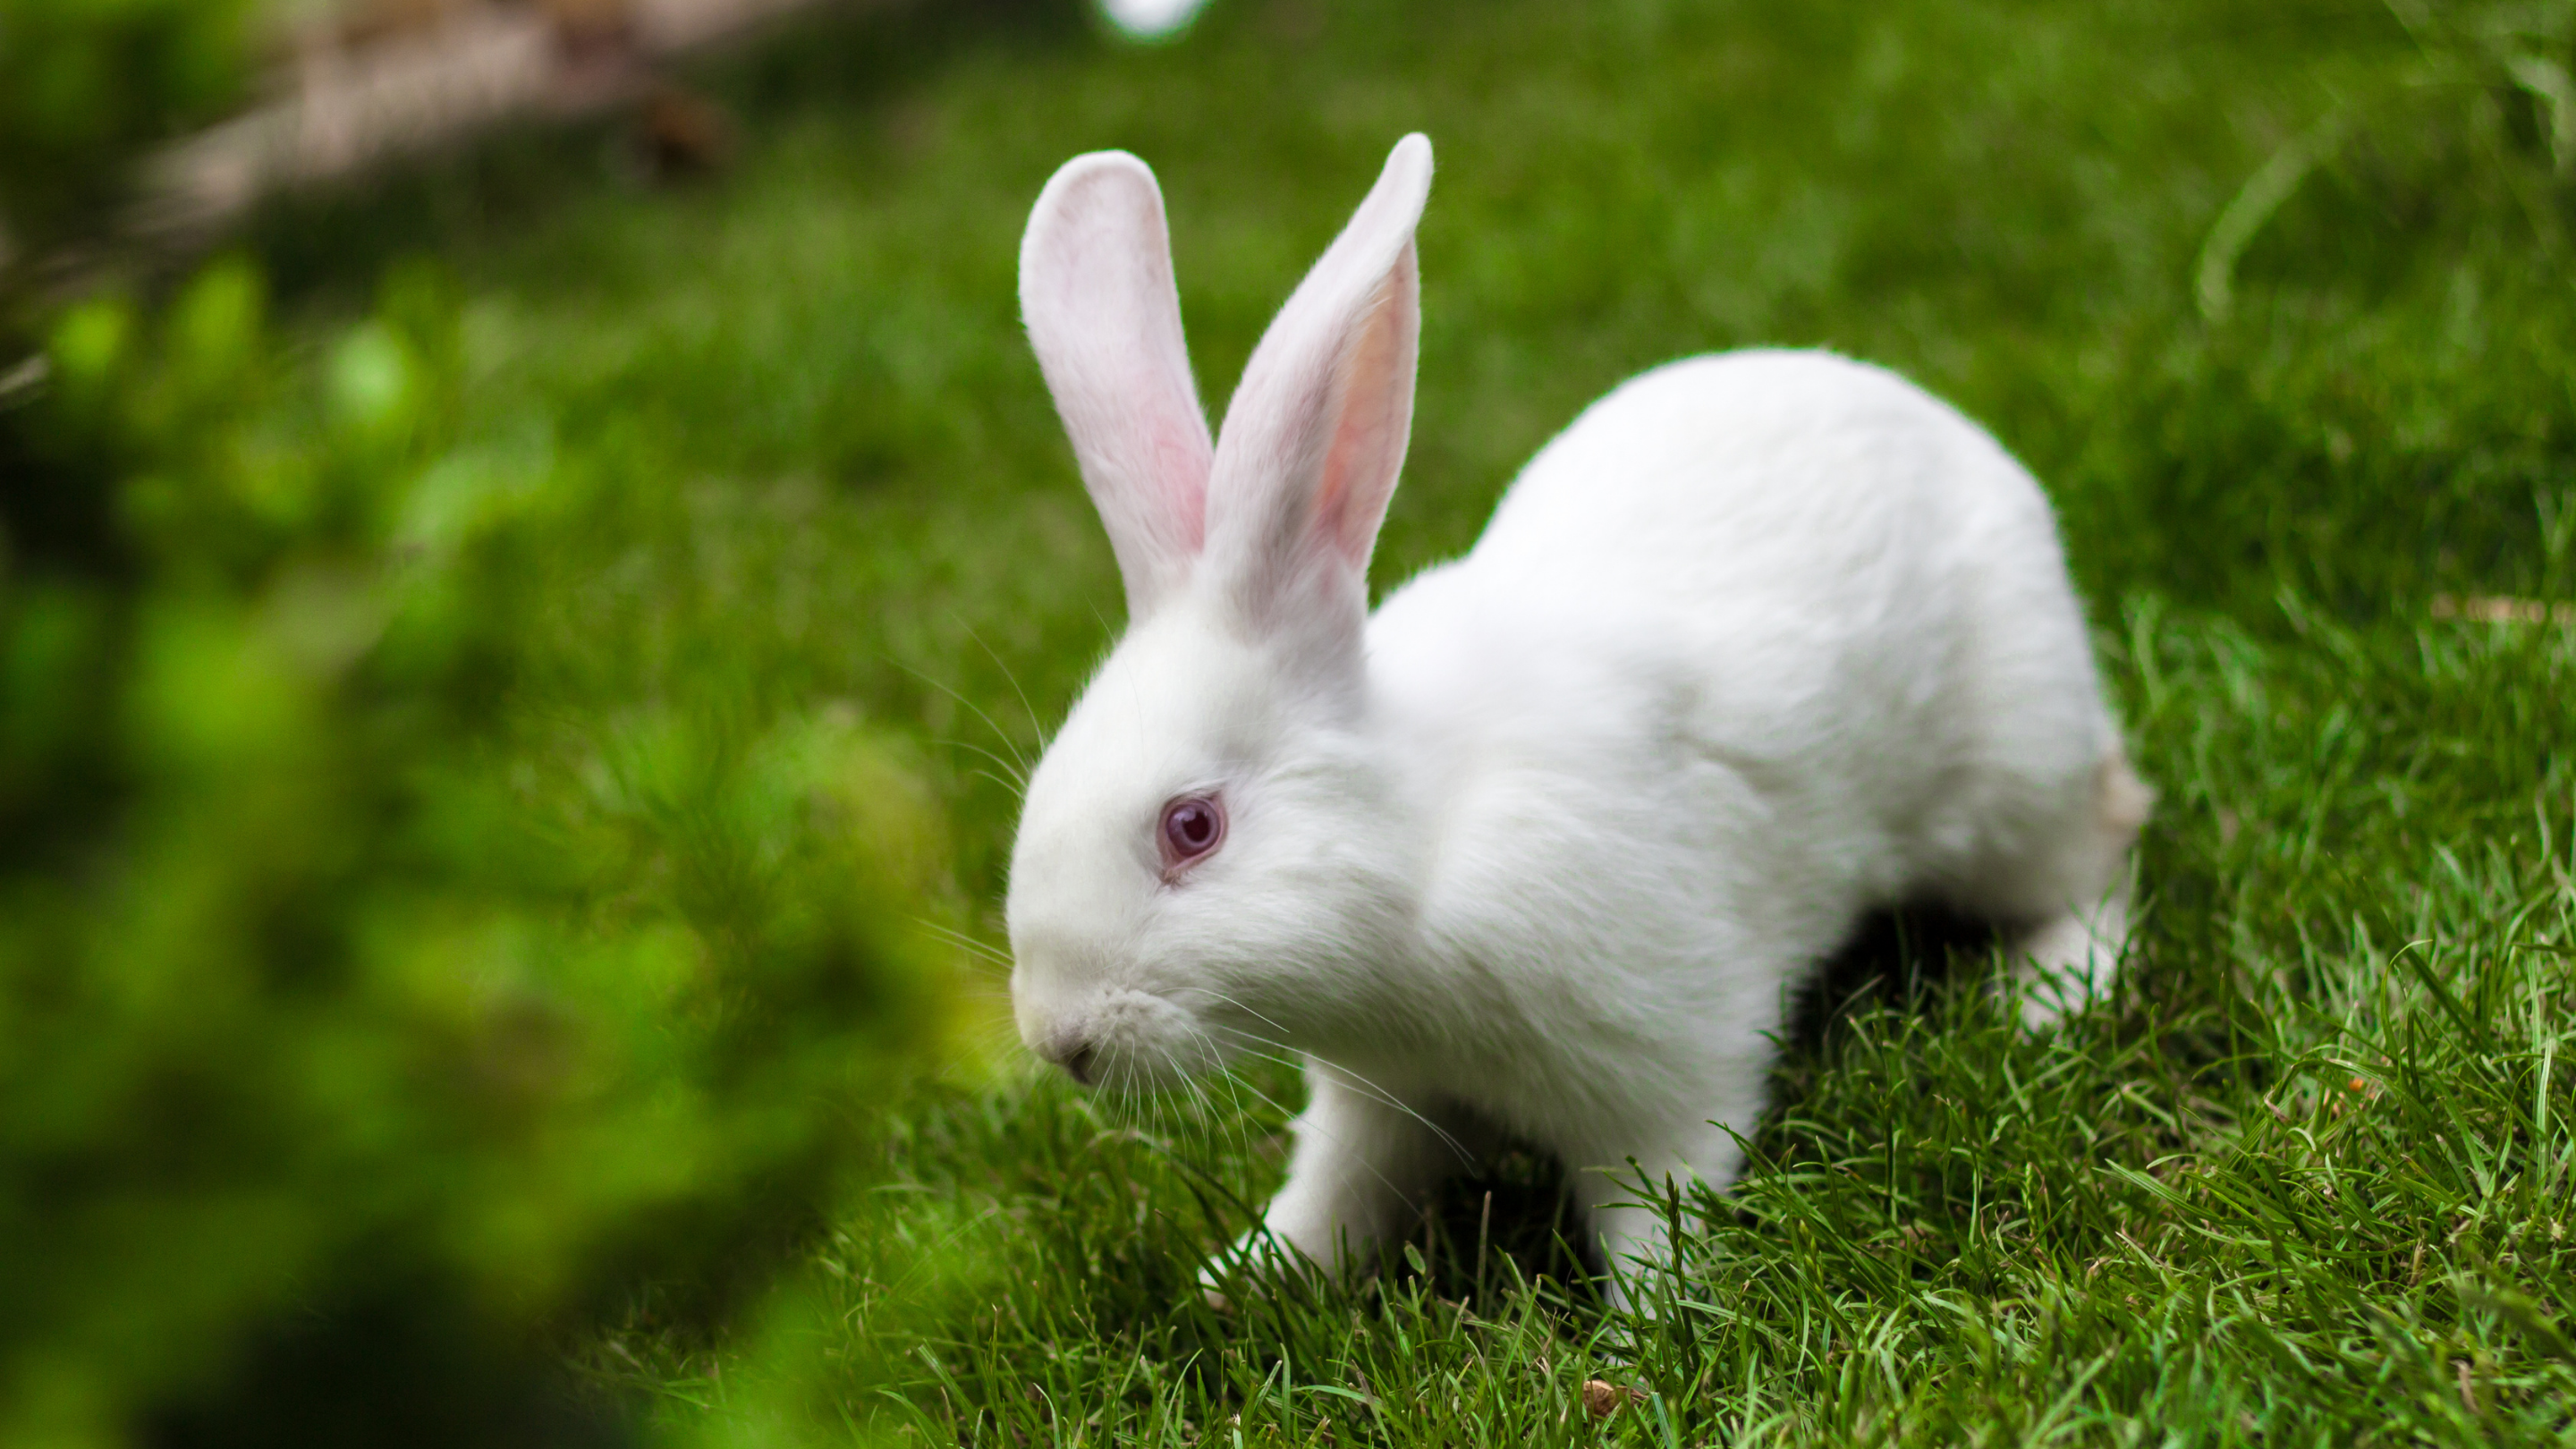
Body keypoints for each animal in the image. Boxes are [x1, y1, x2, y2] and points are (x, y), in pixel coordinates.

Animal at [1004, 132, 2153, 1284]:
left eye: (1192, 827)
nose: (1060, 1041)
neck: (1428, 846)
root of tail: (1958, 439)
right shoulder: (1380, 1098)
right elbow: (1337, 1190)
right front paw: (1248, 1278)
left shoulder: (1666, 1065)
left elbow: (1660, 1202)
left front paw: (1656, 1319)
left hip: (2013, 778)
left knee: (2104, 843)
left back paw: (2051, 991)